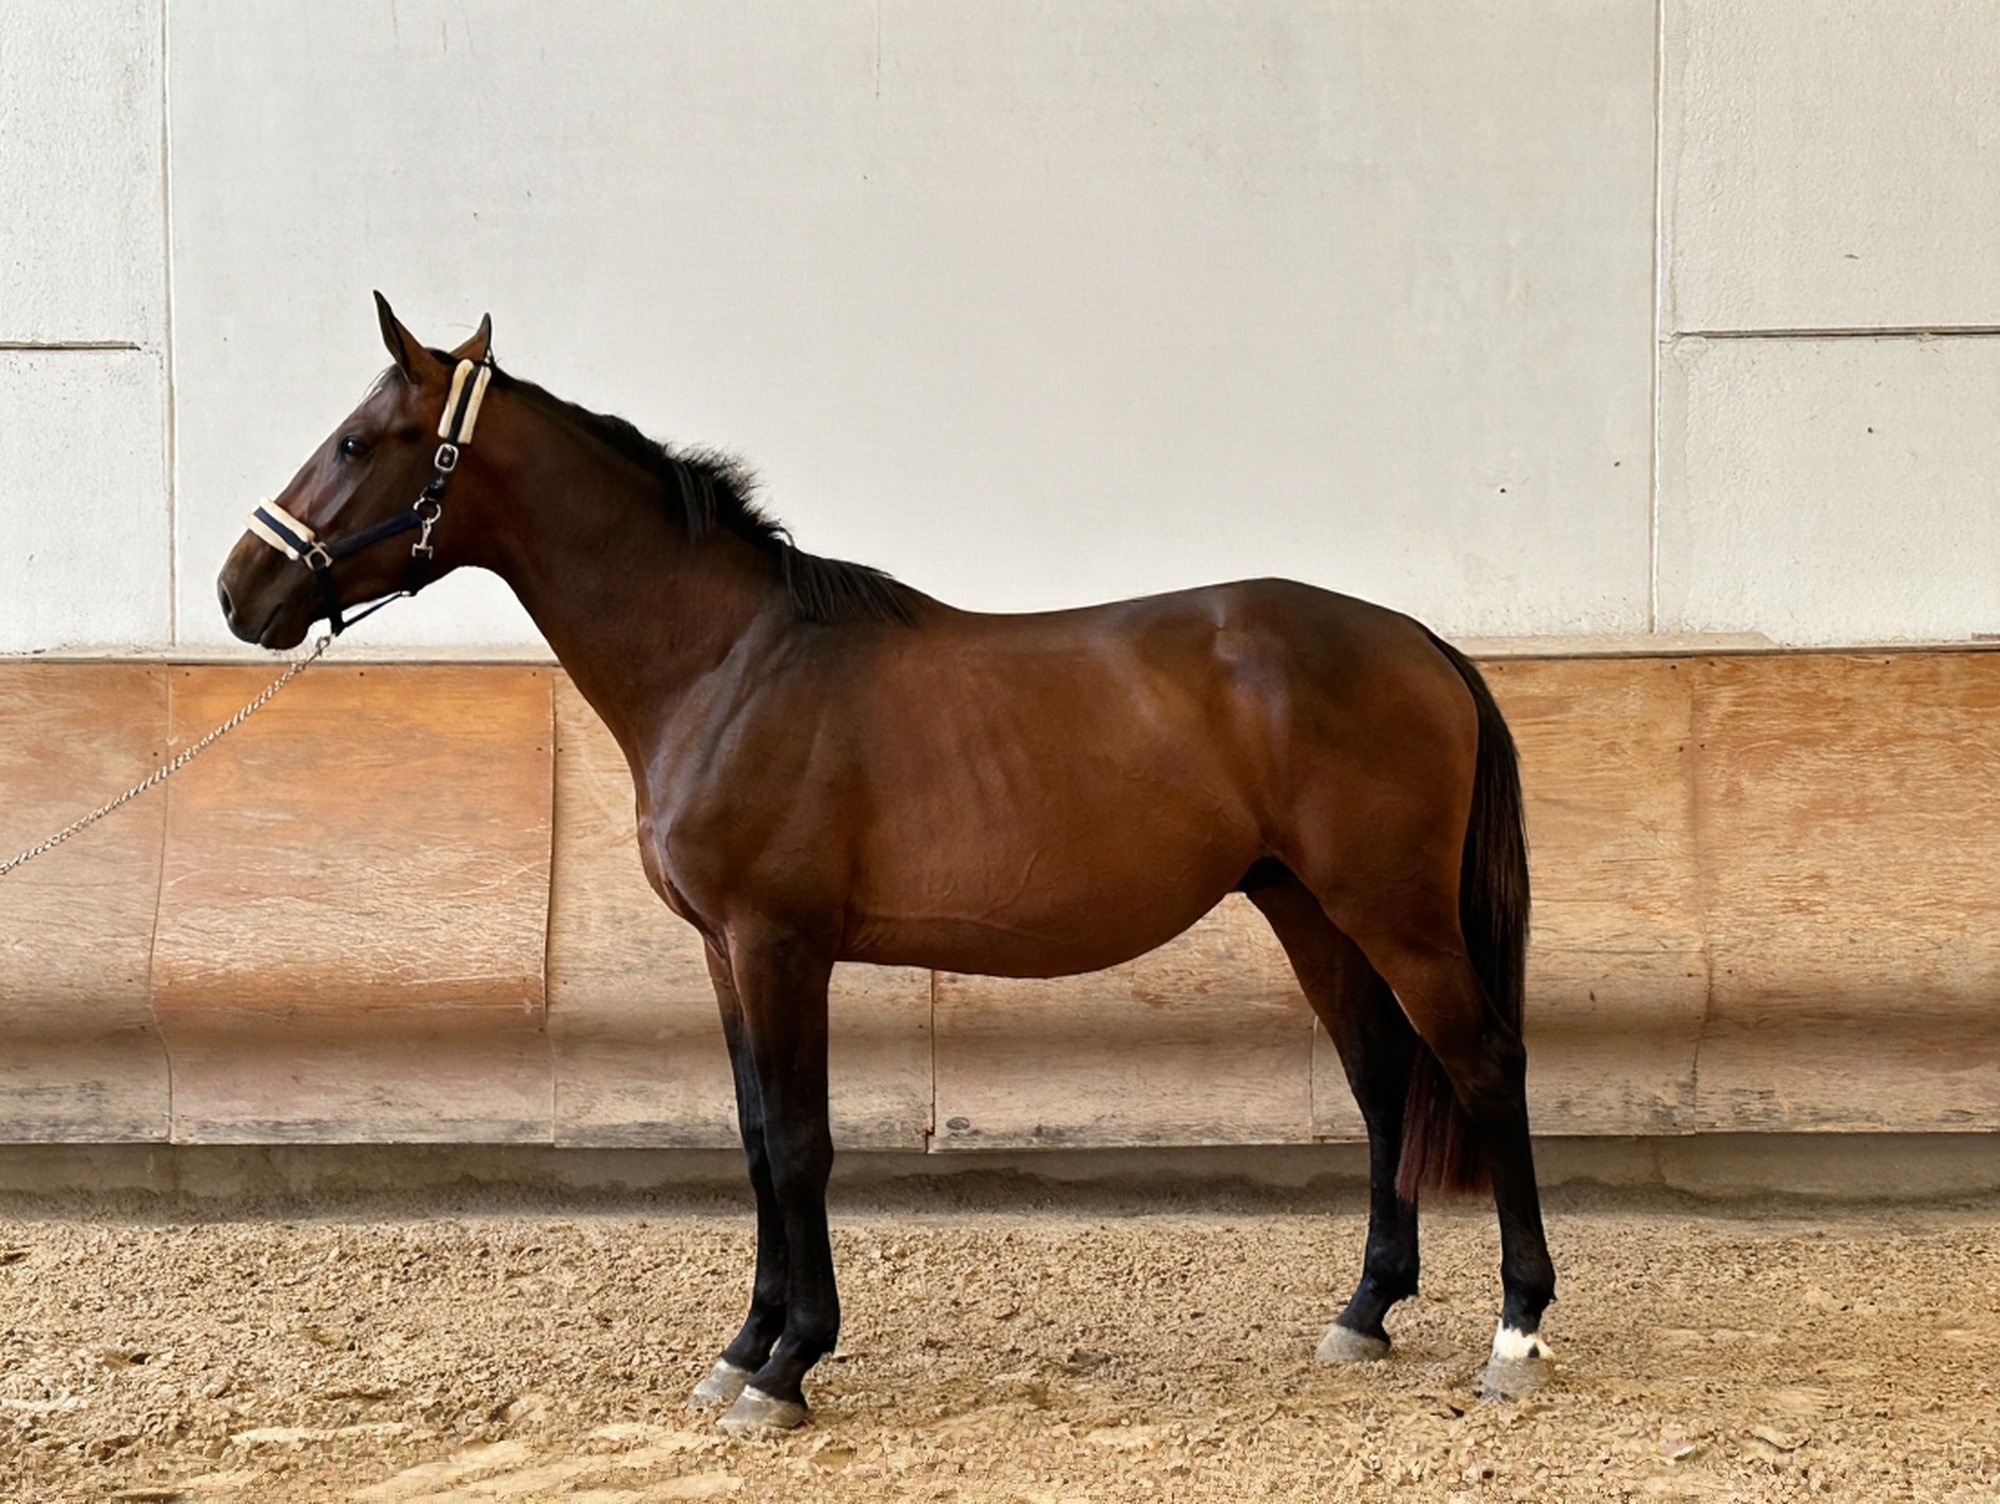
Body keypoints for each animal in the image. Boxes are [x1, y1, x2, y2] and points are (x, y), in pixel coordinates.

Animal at [217, 296, 1556, 1433]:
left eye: (356, 441)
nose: (240, 591)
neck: (728, 662)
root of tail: (1415, 638)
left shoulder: (779, 945)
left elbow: (801, 1143)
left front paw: (789, 1366)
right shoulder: (725, 954)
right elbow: (758, 1137)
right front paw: (741, 1349)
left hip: (1392, 913)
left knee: (1481, 1065)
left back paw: (1515, 1331)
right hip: (1308, 908)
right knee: (1384, 1081)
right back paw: (1364, 1312)